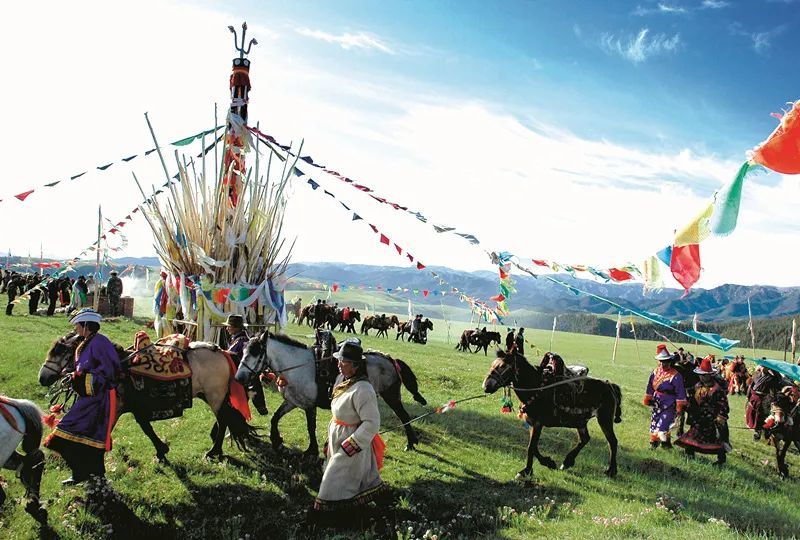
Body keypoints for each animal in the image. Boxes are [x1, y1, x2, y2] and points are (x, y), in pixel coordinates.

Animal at [40, 332, 258, 461]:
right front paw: (161, 451)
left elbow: (140, 428)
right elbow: (146, 428)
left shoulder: (122, 408)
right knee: (226, 419)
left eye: (61, 352)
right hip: (209, 395)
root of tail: (223, 353)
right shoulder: (135, 409)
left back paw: (213, 451)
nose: (42, 377)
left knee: (223, 420)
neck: (118, 368)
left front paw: (161, 451)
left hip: (215, 395)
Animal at [235, 332, 428, 454]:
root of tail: (389, 359)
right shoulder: (292, 401)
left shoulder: (309, 405)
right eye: (243, 351)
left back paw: (411, 443)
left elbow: (310, 427)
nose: (239, 377)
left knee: (403, 416)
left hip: (391, 396)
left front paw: (311, 450)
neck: (299, 366)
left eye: (255, 352)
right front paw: (276, 440)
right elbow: (275, 418)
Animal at [483, 351, 622, 479]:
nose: (486, 386)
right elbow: (534, 448)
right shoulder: (532, 424)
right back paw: (567, 462)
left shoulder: (538, 424)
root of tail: (609, 385)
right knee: (585, 439)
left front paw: (526, 471)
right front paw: (548, 463)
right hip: (580, 422)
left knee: (612, 441)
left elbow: (531, 448)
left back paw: (611, 470)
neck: (536, 387)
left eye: (502, 366)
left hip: (604, 419)